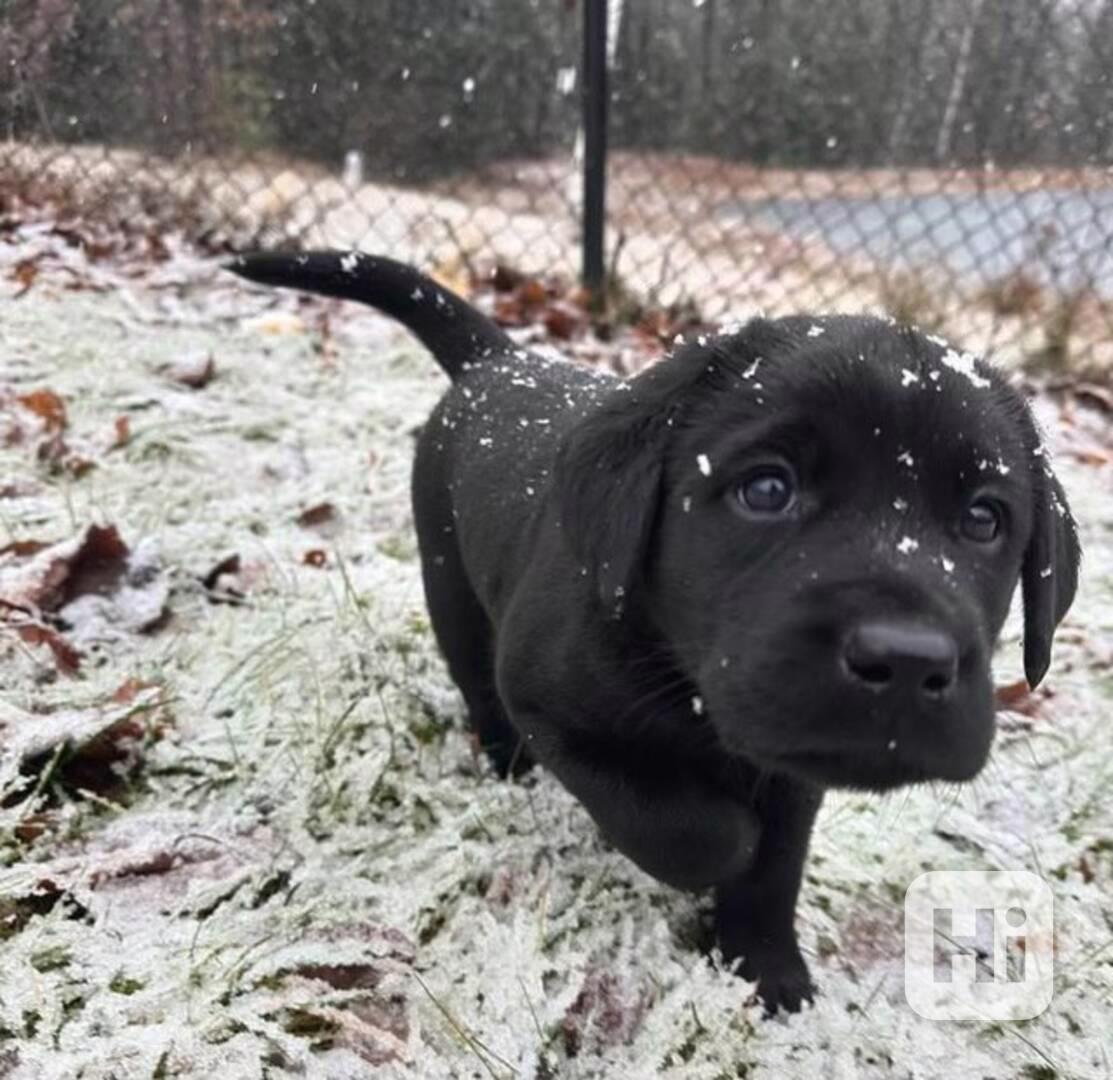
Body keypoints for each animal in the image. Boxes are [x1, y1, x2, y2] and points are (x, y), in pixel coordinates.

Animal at [232, 250, 1077, 1010]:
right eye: (765, 489)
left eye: (983, 520)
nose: (904, 661)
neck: (691, 695)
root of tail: (497, 361)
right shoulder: (550, 706)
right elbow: (690, 827)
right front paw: (722, 854)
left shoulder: (795, 771)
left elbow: (776, 867)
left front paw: (763, 967)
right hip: (451, 589)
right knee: (476, 685)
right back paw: (505, 764)